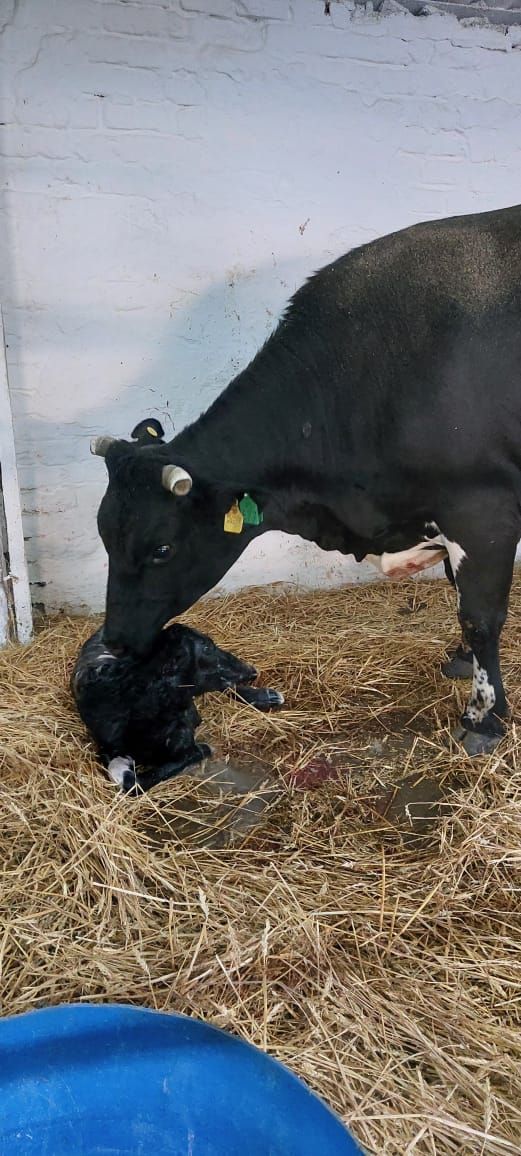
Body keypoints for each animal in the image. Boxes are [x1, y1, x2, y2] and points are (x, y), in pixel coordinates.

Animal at [91, 203, 521, 753]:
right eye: (104, 534)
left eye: (161, 548)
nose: (115, 641)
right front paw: (464, 661)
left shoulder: (481, 510)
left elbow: (481, 615)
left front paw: (484, 715)